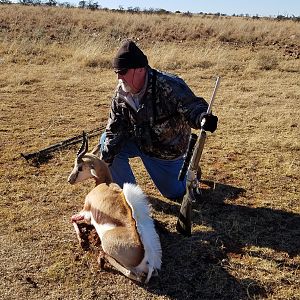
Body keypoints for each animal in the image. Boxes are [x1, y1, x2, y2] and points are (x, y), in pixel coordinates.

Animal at [67, 132, 162, 282]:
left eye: (80, 167)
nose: (69, 180)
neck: (103, 184)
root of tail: (149, 260)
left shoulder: (86, 212)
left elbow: (72, 219)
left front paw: (82, 241)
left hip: (107, 245)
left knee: (131, 274)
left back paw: (101, 258)